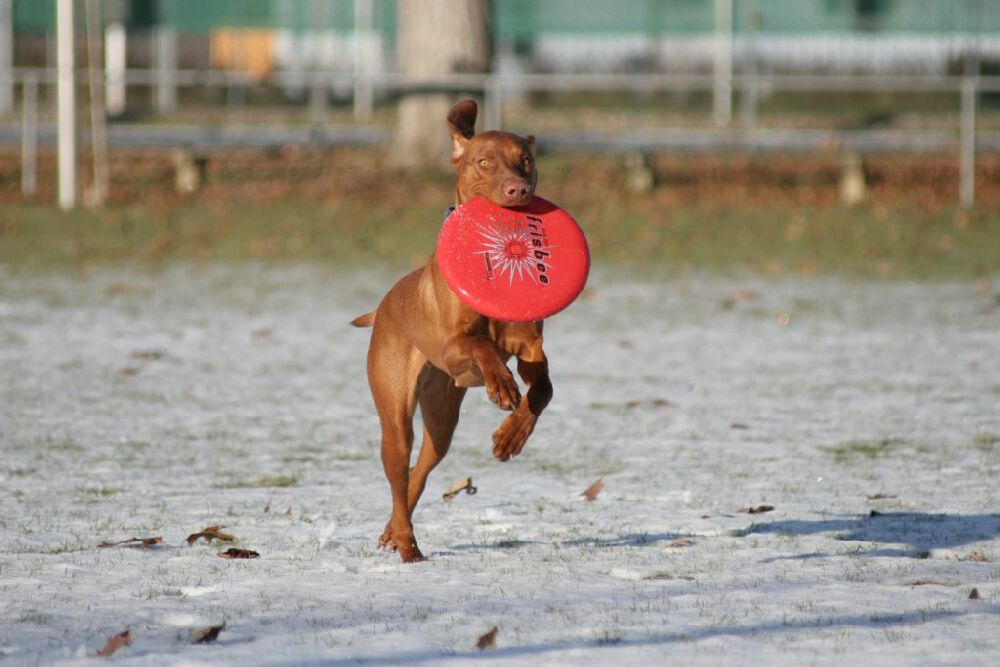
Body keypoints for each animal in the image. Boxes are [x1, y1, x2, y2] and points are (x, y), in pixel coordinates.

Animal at [352, 98, 556, 564]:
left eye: (526, 161)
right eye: (484, 162)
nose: (518, 190)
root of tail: (384, 304)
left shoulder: (531, 347)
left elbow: (543, 388)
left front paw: (511, 437)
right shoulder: (451, 347)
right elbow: (480, 344)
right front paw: (501, 384)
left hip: (442, 417)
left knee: (419, 472)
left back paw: (392, 533)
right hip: (396, 416)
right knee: (398, 474)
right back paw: (407, 544)